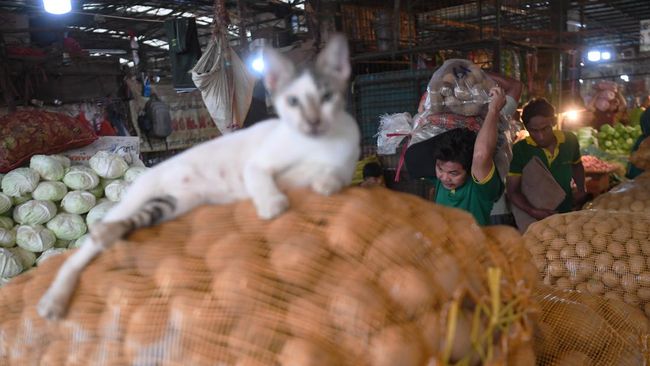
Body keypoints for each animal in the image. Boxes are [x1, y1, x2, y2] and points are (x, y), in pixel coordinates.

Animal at [36, 35, 360, 320]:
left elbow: (331, 173)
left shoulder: (344, 159)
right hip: (136, 197)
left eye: (327, 97)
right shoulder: (258, 164)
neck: (315, 145)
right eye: (293, 101)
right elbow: (261, 176)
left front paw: (325, 180)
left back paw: (108, 235)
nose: (313, 122)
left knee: (137, 220)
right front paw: (272, 203)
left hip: (175, 202)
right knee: (78, 257)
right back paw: (55, 297)